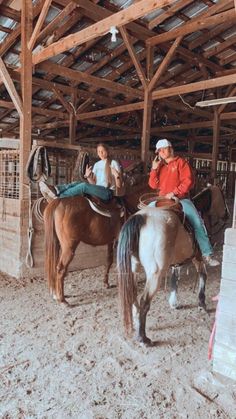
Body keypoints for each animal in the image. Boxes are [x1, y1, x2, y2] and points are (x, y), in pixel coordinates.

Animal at [117, 185, 229, 346]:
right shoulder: (197, 257)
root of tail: (141, 218)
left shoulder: (176, 263)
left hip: (132, 270)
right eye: (223, 196)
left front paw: (174, 303)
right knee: (144, 301)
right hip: (155, 274)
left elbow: (174, 280)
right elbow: (203, 275)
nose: (227, 215)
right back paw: (143, 338)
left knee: (132, 294)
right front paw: (201, 303)